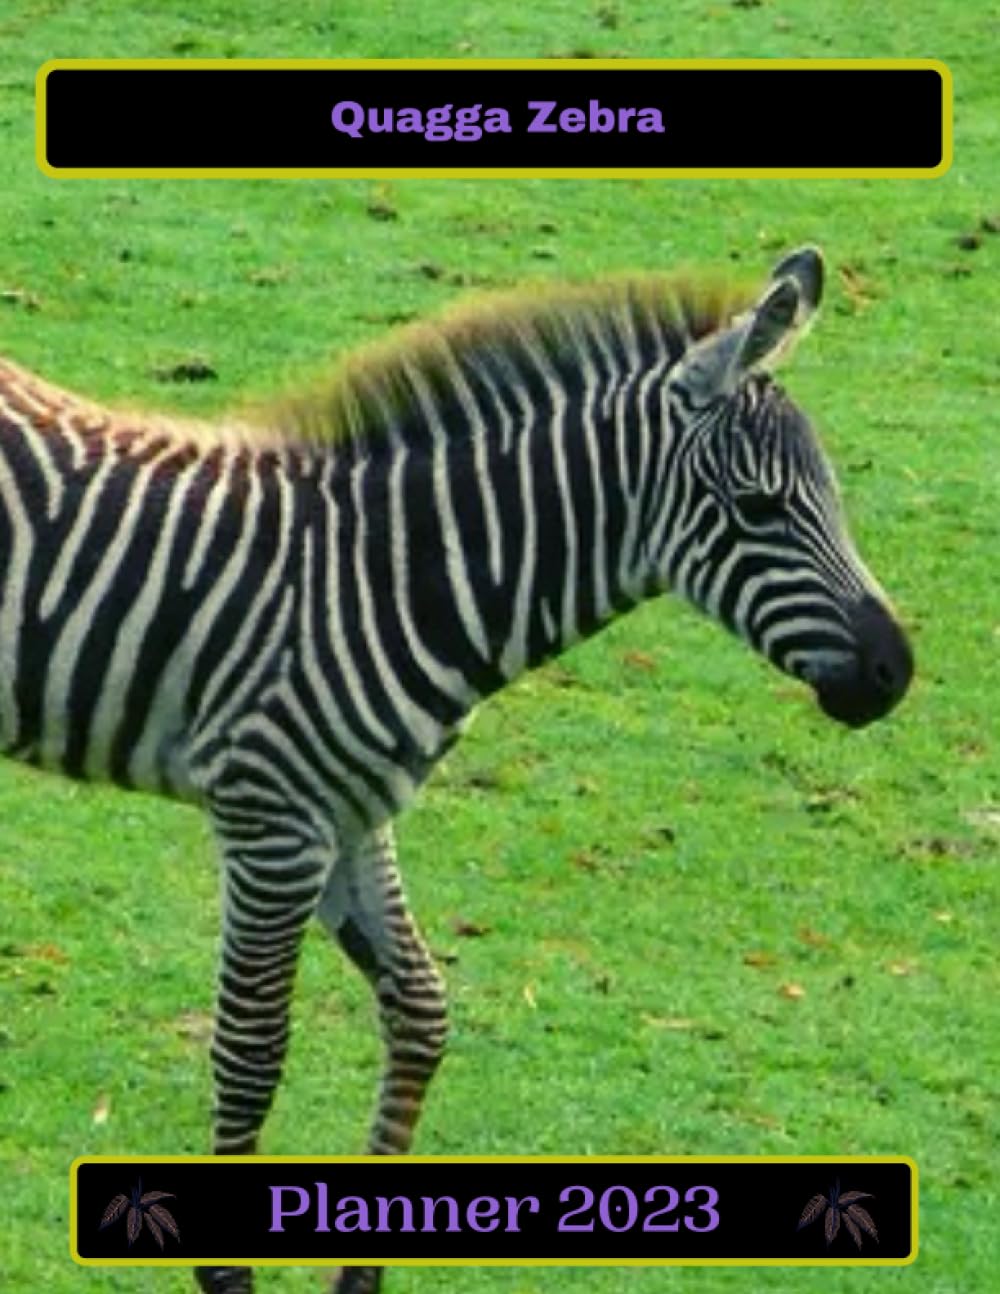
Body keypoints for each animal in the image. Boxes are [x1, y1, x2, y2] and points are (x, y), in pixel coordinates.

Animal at [0, 246, 912, 1293]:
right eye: (760, 509)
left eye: (831, 496)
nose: (895, 673)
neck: (389, 580)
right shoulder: (272, 822)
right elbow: (252, 1051)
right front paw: (227, 1277)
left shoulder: (351, 813)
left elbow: (421, 1013)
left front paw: (360, 1275)